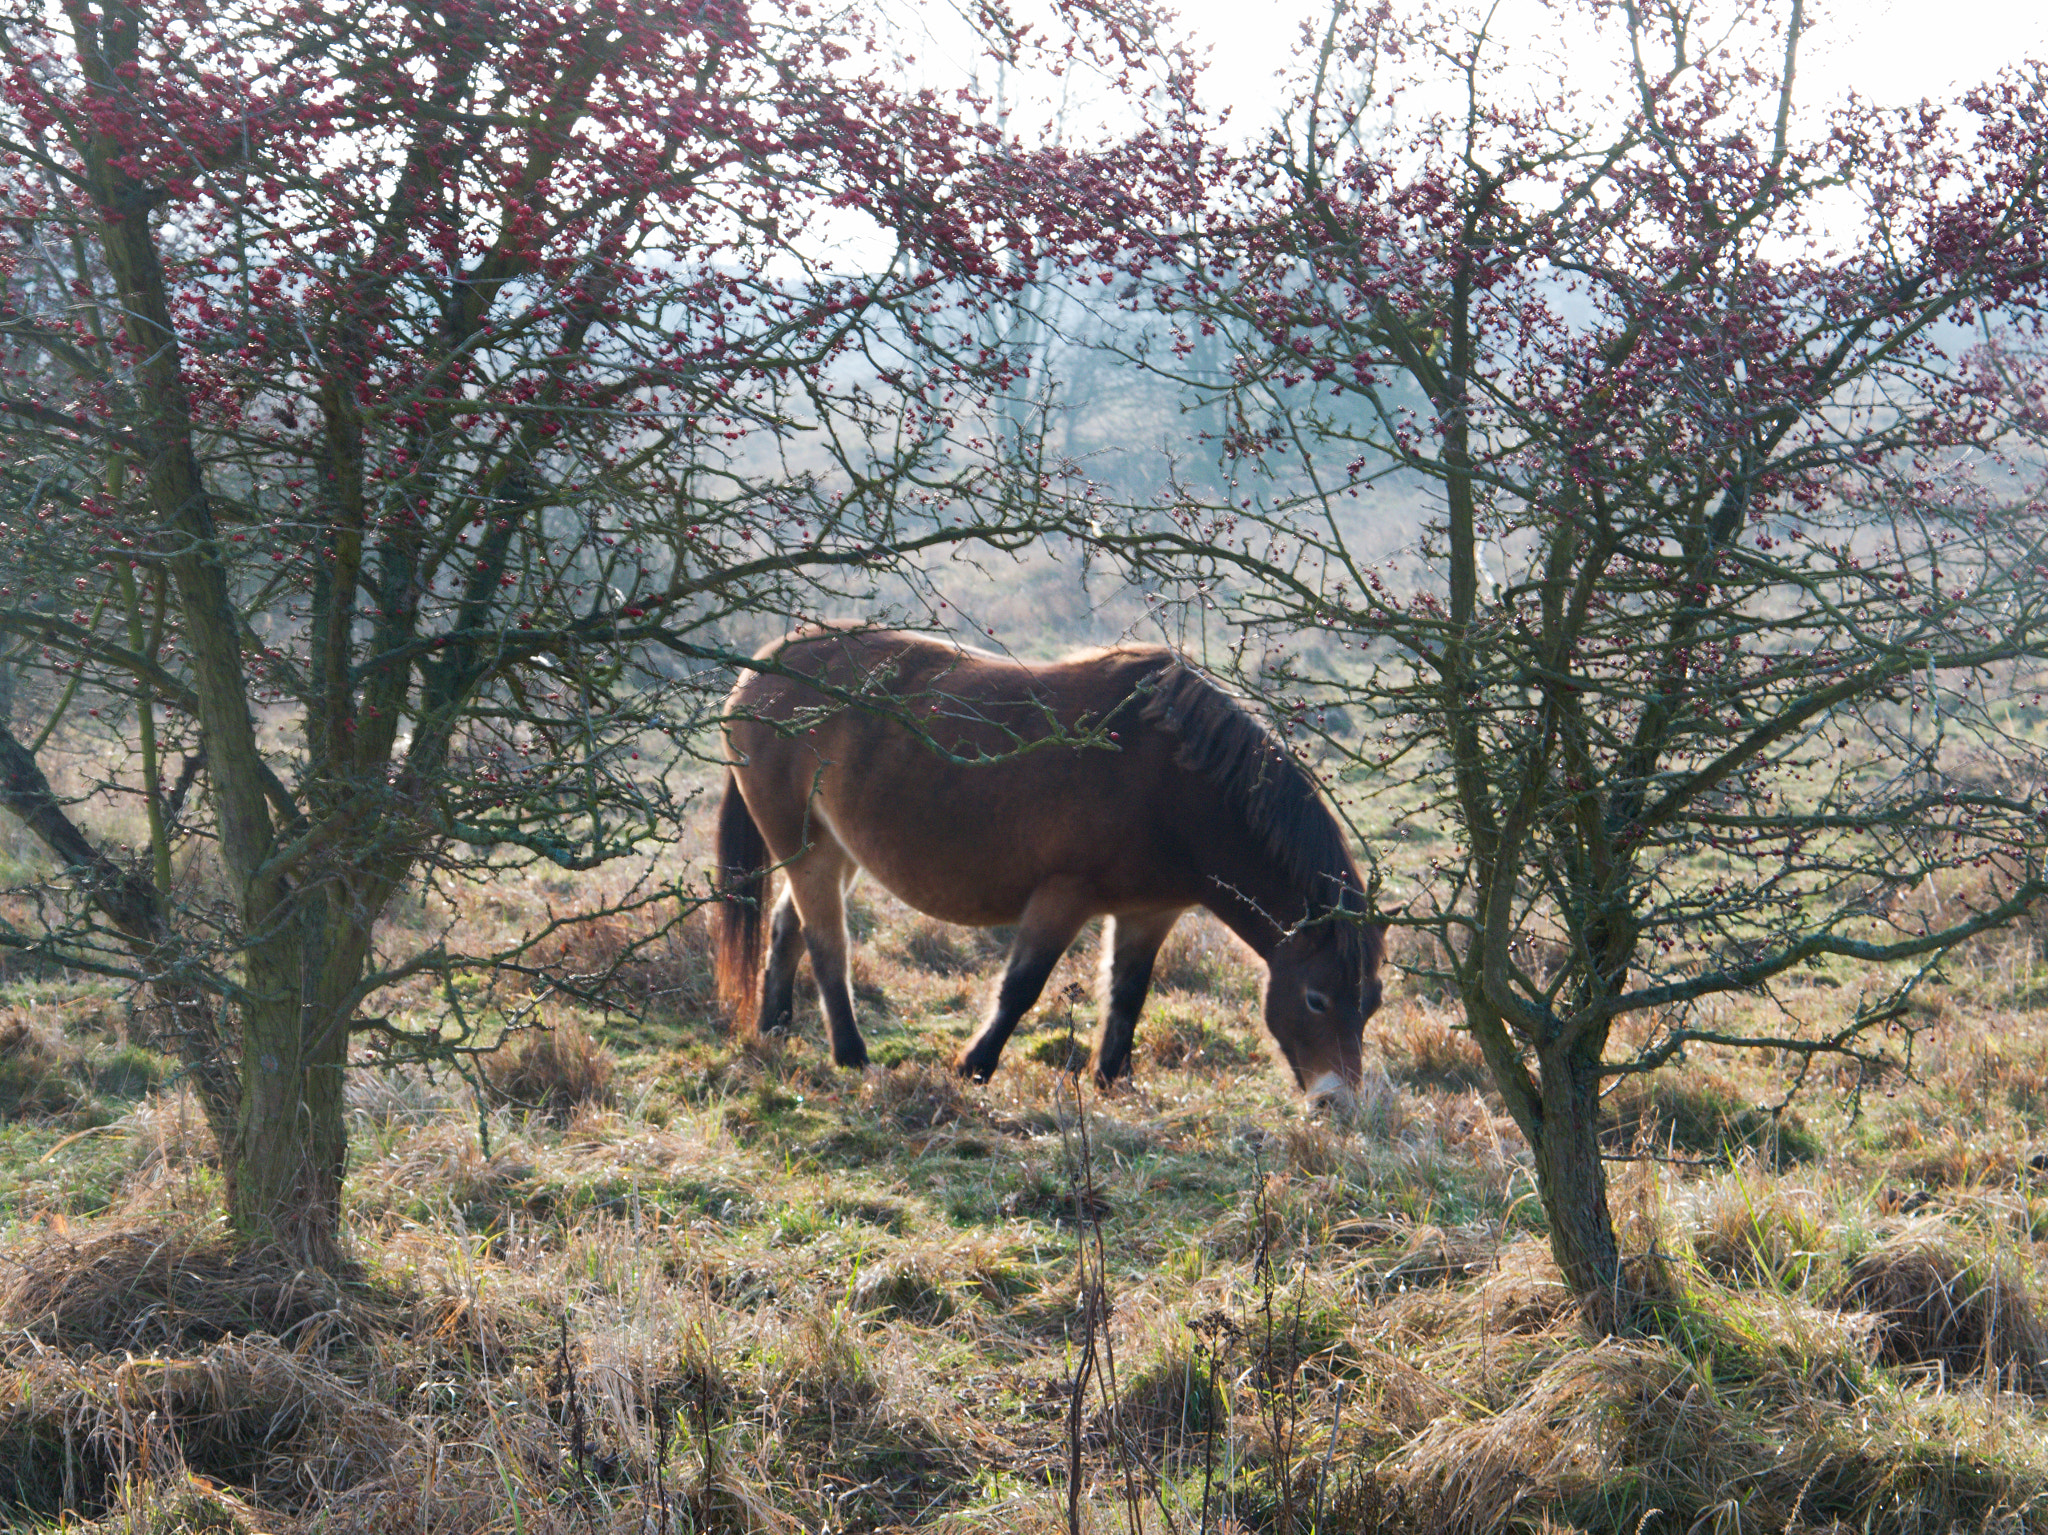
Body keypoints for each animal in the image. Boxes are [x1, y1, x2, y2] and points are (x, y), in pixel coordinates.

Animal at [712, 626, 1384, 1105]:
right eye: (1317, 1000)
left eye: (1371, 1005)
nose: (1339, 1107)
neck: (1171, 780)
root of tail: (758, 673)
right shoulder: (1063, 897)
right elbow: (1022, 987)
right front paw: (974, 1067)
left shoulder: (1151, 912)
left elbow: (1128, 993)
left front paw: (1112, 1079)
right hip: (811, 851)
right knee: (827, 944)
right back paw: (851, 1054)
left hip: (833, 849)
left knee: (787, 929)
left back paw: (773, 1030)